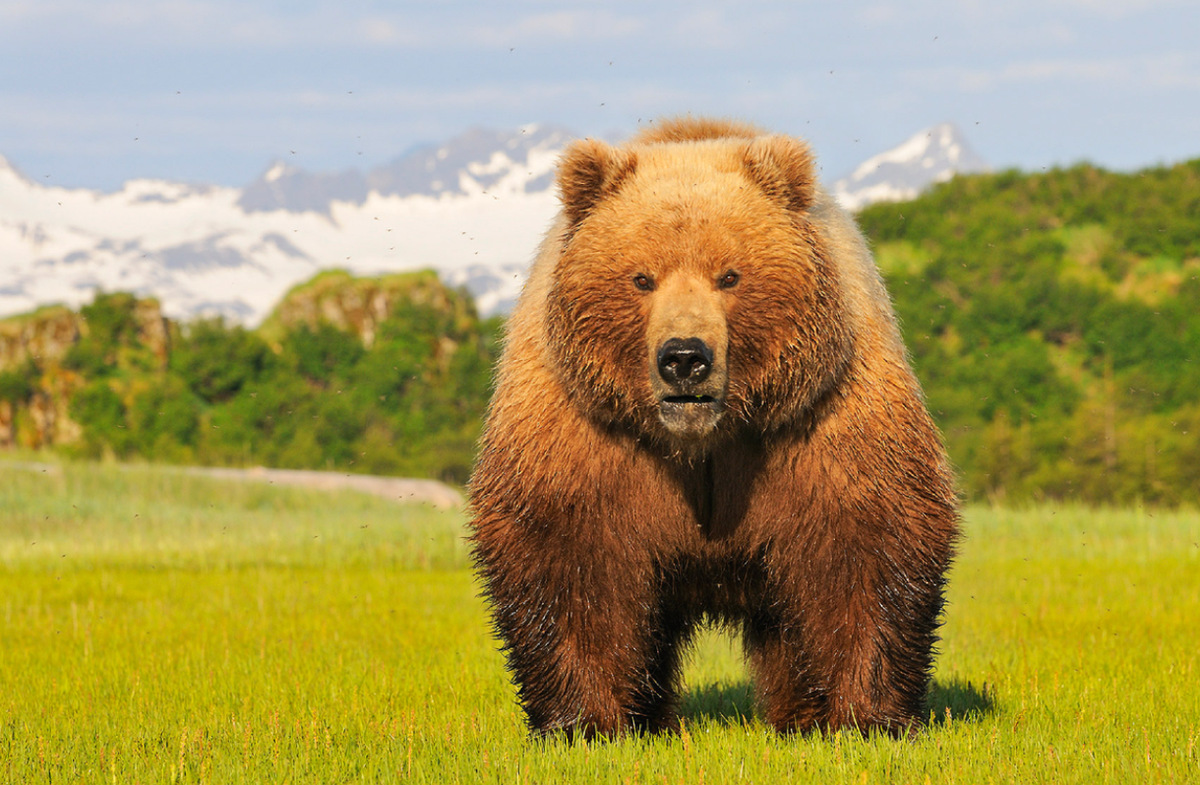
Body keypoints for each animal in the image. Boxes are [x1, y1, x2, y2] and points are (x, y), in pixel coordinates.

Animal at [465, 115, 955, 739]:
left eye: (730, 274)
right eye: (641, 278)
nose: (684, 357)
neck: (704, 443)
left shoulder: (819, 420)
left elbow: (864, 541)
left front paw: (867, 718)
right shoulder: (585, 429)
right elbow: (568, 552)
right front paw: (584, 723)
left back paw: (799, 717)